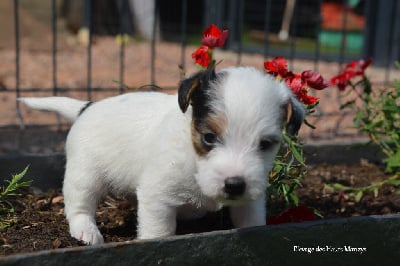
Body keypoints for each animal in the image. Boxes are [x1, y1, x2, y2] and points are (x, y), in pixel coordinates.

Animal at [18, 66, 304, 245]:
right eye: (209, 137)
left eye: (265, 144)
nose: (234, 185)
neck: (194, 160)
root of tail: (86, 107)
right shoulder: (157, 196)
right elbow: (160, 231)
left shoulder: (250, 200)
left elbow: (251, 219)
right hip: (84, 175)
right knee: (79, 205)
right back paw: (86, 231)